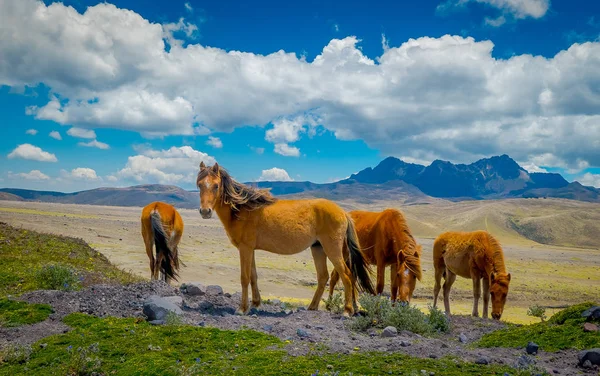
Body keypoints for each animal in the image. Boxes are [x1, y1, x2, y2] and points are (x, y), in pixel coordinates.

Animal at [197, 163, 376, 316]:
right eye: (199, 185)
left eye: (216, 185)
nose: (205, 212)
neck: (242, 209)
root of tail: (343, 212)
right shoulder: (250, 249)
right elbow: (253, 276)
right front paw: (255, 303)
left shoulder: (245, 248)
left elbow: (244, 277)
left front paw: (242, 309)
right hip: (317, 248)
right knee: (323, 277)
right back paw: (312, 307)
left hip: (332, 249)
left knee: (346, 275)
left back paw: (347, 310)